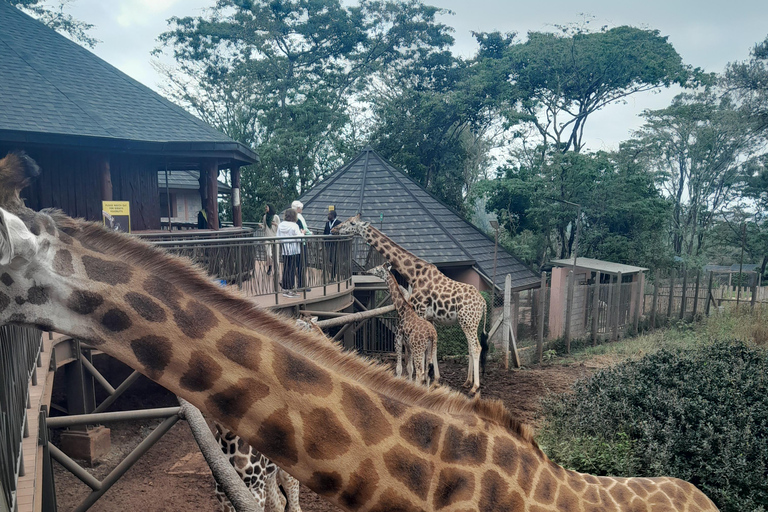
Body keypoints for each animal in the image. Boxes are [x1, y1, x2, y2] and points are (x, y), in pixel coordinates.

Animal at [334, 214, 488, 394]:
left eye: (352, 223)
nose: (335, 229)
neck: (413, 273)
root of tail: (483, 302)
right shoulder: (429, 317)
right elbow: (432, 349)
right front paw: (435, 380)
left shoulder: (419, 309)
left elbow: (416, 354)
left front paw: (419, 380)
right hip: (469, 322)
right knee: (471, 347)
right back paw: (467, 382)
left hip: (468, 321)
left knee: (476, 347)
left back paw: (474, 387)